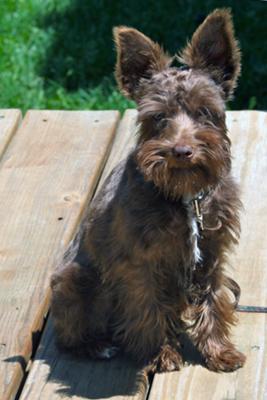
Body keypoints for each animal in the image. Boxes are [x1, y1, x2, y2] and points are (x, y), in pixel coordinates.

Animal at [50, 8, 247, 372]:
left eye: (205, 111)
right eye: (158, 117)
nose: (181, 150)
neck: (186, 198)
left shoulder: (212, 252)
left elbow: (213, 301)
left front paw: (218, 350)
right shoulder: (139, 263)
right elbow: (147, 308)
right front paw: (162, 354)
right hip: (75, 281)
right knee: (69, 337)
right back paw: (97, 345)